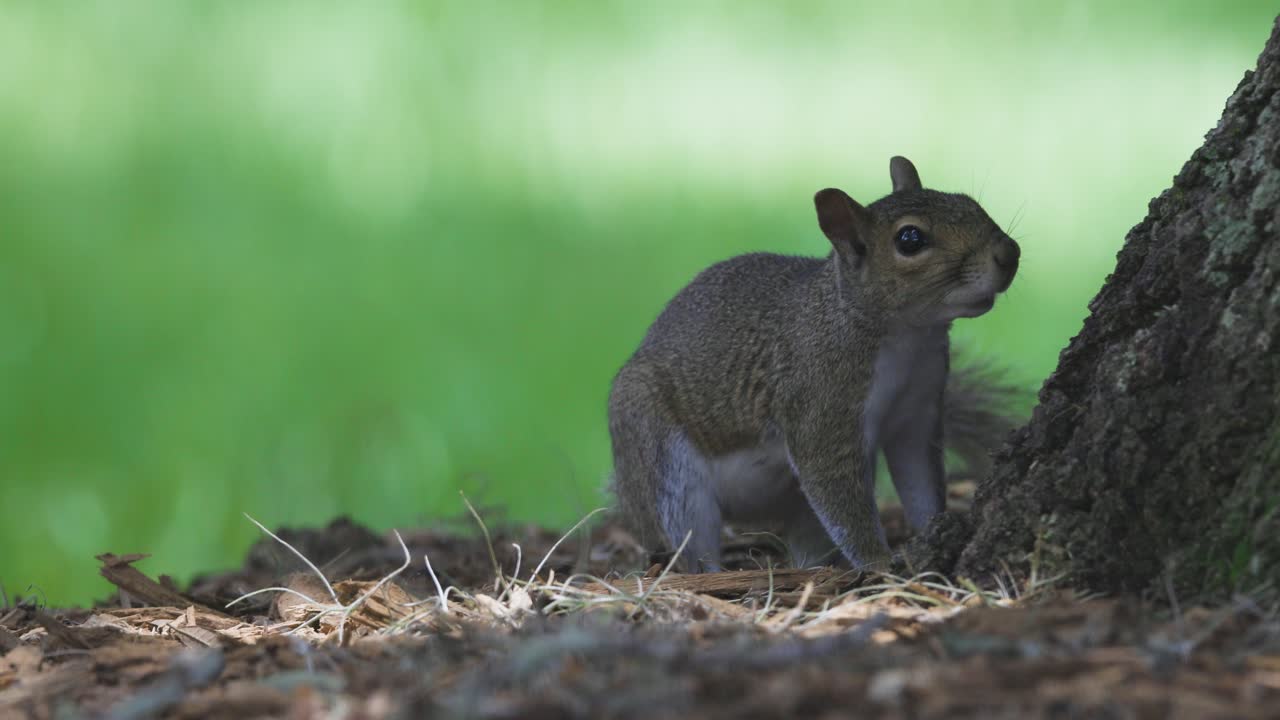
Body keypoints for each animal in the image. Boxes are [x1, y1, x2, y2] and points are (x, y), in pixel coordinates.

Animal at [607, 156, 1020, 572]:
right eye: (910, 239)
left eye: (969, 202)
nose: (1010, 253)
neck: (907, 338)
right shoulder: (821, 406)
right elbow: (835, 488)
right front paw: (879, 562)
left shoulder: (916, 413)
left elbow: (920, 479)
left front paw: (933, 529)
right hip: (663, 463)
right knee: (687, 538)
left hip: (798, 505)